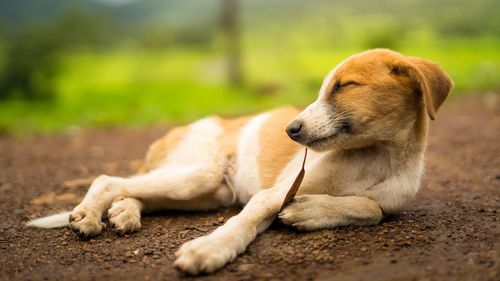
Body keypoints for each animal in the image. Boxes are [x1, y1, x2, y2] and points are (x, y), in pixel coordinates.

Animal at [27, 48, 454, 274]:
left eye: (345, 86)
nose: (290, 130)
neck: (375, 157)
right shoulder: (272, 194)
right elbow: (240, 225)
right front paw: (209, 250)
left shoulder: (385, 200)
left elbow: (371, 208)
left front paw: (310, 211)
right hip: (201, 174)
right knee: (108, 179)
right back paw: (89, 215)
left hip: (209, 191)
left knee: (133, 192)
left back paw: (123, 214)